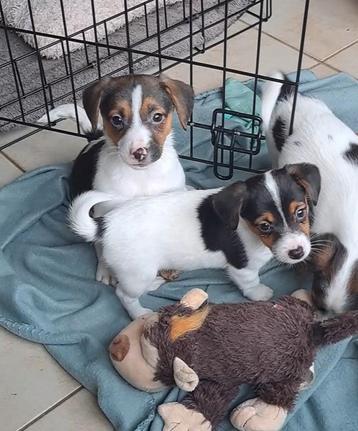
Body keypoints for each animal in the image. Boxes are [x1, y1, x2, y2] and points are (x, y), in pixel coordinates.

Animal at [68, 165, 320, 320]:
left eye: (301, 212)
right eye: (265, 226)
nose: (297, 252)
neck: (249, 230)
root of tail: (105, 225)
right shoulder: (242, 267)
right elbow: (250, 282)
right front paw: (259, 293)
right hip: (137, 272)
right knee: (123, 294)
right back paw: (139, 313)